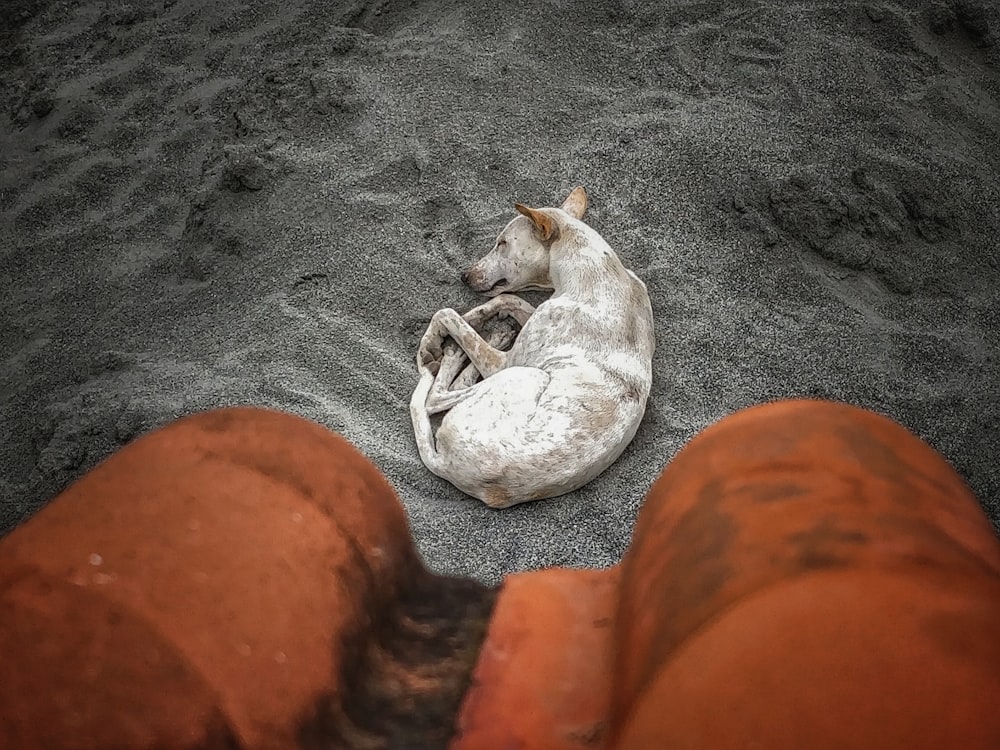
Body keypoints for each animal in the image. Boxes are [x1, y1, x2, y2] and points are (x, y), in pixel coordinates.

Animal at [408, 185, 656, 508]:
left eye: (502, 243)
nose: (464, 275)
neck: (600, 272)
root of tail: (447, 465)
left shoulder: (506, 361)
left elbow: (448, 314)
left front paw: (435, 337)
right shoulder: (537, 311)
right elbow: (509, 299)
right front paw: (480, 316)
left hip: (523, 374)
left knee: (435, 397)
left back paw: (455, 353)